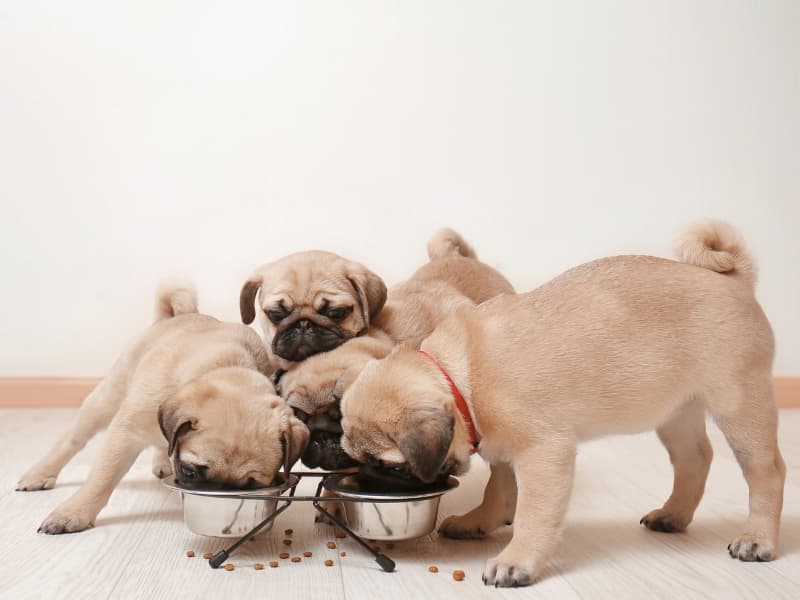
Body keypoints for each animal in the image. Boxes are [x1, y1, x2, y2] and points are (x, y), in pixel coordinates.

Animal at [16, 282, 310, 536]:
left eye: (253, 485)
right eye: (189, 472)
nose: (220, 491)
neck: (226, 367)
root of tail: (174, 316)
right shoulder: (124, 434)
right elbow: (102, 478)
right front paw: (74, 513)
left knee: (162, 441)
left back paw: (161, 463)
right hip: (107, 399)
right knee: (73, 439)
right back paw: (39, 474)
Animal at [340, 220, 784, 584]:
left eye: (390, 466)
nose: (367, 479)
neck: (458, 376)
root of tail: (734, 280)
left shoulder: (543, 454)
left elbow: (532, 514)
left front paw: (517, 560)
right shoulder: (503, 448)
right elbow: (499, 489)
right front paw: (479, 521)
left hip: (739, 404)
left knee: (767, 472)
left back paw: (757, 539)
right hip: (677, 412)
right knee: (695, 459)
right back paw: (672, 515)